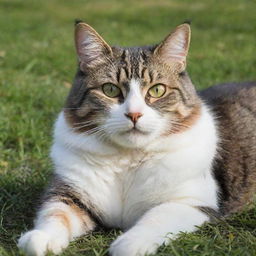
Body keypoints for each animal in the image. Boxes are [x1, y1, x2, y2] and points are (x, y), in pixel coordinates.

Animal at [18, 20, 256, 256]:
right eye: (110, 89)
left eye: (157, 90)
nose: (133, 114)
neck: (128, 158)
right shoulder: (69, 193)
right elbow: (56, 214)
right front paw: (41, 238)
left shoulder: (194, 201)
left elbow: (157, 217)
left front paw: (128, 243)